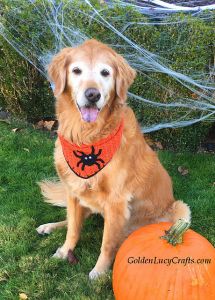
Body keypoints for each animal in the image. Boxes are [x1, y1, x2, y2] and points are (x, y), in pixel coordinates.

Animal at [36, 39, 190, 278]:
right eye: (76, 70)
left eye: (105, 73)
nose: (93, 94)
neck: (86, 136)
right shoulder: (73, 191)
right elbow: (73, 229)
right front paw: (64, 251)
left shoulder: (116, 202)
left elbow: (107, 243)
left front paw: (99, 272)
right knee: (73, 220)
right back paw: (49, 226)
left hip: (181, 210)